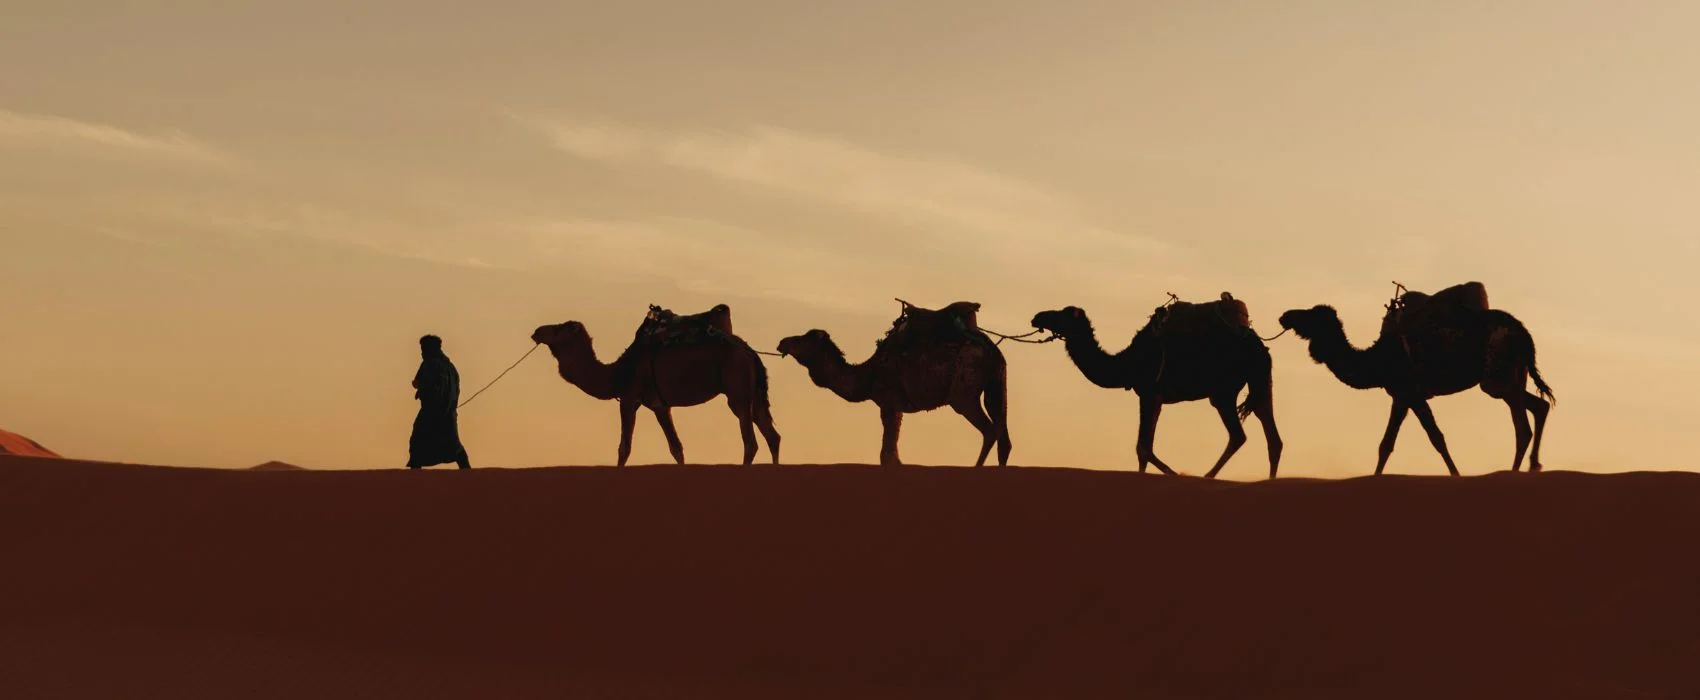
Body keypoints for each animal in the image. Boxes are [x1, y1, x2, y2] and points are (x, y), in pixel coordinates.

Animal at [531, 304, 780, 467]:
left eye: (559, 328)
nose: (536, 331)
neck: (619, 372)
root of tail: (750, 353)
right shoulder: (660, 405)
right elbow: (676, 448)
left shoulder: (629, 399)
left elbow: (624, 448)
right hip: (754, 393)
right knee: (772, 436)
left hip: (737, 389)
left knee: (750, 441)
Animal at [775, 300, 1010, 467]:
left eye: (801, 339)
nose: (781, 342)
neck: (868, 374)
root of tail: (992, 350)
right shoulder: (896, 406)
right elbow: (892, 446)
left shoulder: (888, 400)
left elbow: (887, 451)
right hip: (996, 383)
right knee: (1002, 433)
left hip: (963, 391)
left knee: (990, 429)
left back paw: (976, 467)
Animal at [1031, 295, 1282, 479]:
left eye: (1062, 313)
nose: (1037, 317)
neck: (1127, 362)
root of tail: (1259, 346)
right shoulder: (1157, 397)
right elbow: (1144, 448)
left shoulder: (1149, 391)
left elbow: (1142, 447)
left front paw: (1173, 473)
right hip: (1260, 382)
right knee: (1272, 437)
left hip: (1223, 391)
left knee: (1239, 435)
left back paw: (1207, 475)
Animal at [1276, 282, 1554, 475]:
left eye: (1310, 315)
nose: (1285, 315)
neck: (1377, 360)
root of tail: (1521, 330)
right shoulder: (1401, 396)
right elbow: (1387, 444)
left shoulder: (1410, 392)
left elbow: (1436, 438)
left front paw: (1456, 474)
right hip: (1515, 373)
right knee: (1536, 410)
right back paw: (1530, 466)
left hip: (1497, 376)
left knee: (1525, 421)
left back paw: (1518, 470)